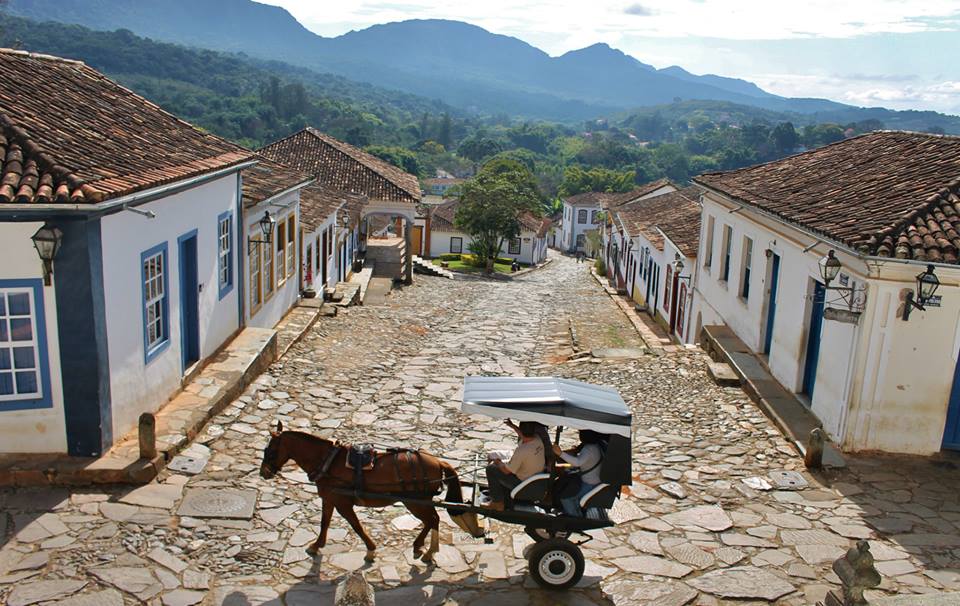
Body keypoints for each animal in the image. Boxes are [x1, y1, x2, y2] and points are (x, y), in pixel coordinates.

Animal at [258, 422, 484, 564]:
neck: (328, 461)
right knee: (431, 520)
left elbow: (356, 526)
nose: (263, 473)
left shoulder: (343, 503)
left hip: (415, 502)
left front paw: (370, 550)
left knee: (433, 520)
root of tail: (438, 461)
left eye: (270, 451)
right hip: (418, 502)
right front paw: (316, 545)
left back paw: (429, 551)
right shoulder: (329, 499)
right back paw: (420, 546)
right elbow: (324, 522)